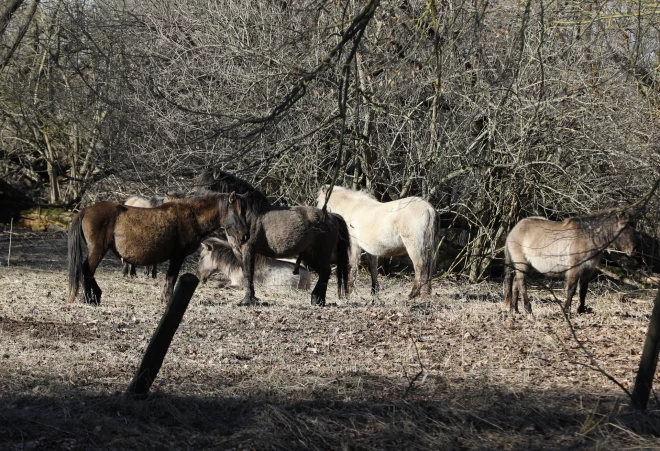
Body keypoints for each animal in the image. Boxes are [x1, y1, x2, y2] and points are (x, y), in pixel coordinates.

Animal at [67, 192, 248, 306]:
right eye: (236, 213)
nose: (245, 236)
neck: (192, 216)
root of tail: (86, 210)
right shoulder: (177, 256)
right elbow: (171, 278)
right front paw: (167, 300)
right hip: (97, 250)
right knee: (87, 270)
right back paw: (91, 298)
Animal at [195, 170, 350, 308]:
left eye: (208, 187)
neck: (247, 215)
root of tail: (331, 216)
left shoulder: (248, 249)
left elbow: (248, 274)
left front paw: (248, 300)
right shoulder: (238, 251)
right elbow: (246, 273)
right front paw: (251, 298)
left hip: (320, 254)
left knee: (325, 272)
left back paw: (318, 300)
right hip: (310, 256)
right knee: (323, 273)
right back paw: (317, 299)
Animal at [502, 210, 636, 316]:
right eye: (624, 227)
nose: (633, 249)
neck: (588, 236)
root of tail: (512, 232)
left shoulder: (588, 270)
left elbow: (583, 290)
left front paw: (581, 310)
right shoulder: (575, 268)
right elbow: (571, 289)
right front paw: (566, 311)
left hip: (527, 266)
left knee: (516, 284)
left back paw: (515, 310)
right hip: (522, 264)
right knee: (522, 284)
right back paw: (528, 309)